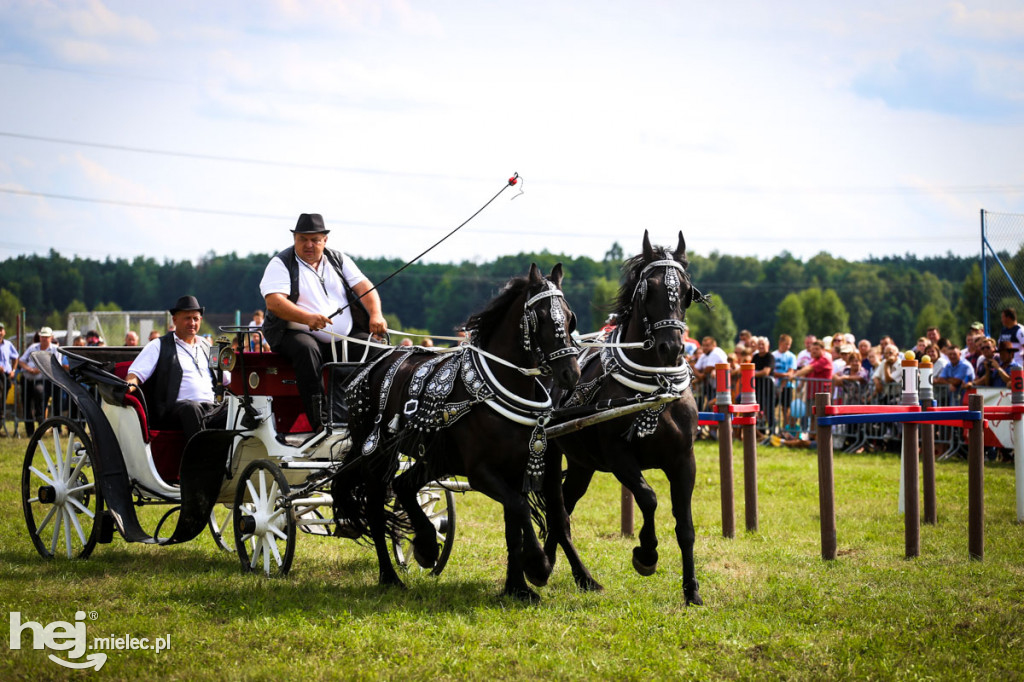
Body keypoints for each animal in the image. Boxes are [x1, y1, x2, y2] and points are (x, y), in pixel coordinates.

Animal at [333, 262, 581, 598]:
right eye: (540, 317)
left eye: (569, 317)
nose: (571, 373)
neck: (494, 387)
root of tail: (374, 363)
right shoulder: (480, 473)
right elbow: (519, 508)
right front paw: (538, 565)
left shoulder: (516, 468)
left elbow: (513, 524)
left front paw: (518, 587)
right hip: (376, 452)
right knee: (374, 505)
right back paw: (390, 575)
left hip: (435, 456)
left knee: (403, 485)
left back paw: (425, 544)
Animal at [548, 231, 708, 602]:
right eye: (648, 289)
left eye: (686, 289)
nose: (671, 347)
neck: (655, 387)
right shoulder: (618, 455)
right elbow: (648, 498)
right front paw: (646, 554)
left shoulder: (684, 459)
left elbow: (685, 525)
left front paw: (691, 590)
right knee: (556, 512)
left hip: (581, 464)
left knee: (563, 506)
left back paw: (546, 566)